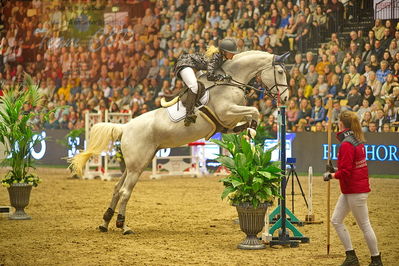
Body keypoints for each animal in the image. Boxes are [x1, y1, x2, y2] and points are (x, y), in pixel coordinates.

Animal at [70, 50, 290, 235]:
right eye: (280, 72)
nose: (286, 97)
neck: (229, 81)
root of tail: (125, 127)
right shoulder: (228, 112)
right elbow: (255, 111)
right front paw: (252, 129)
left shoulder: (230, 119)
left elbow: (249, 116)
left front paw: (249, 129)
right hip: (137, 165)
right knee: (125, 191)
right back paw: (123, 226)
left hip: (136, 164)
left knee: (117, 189)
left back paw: (105, 223)